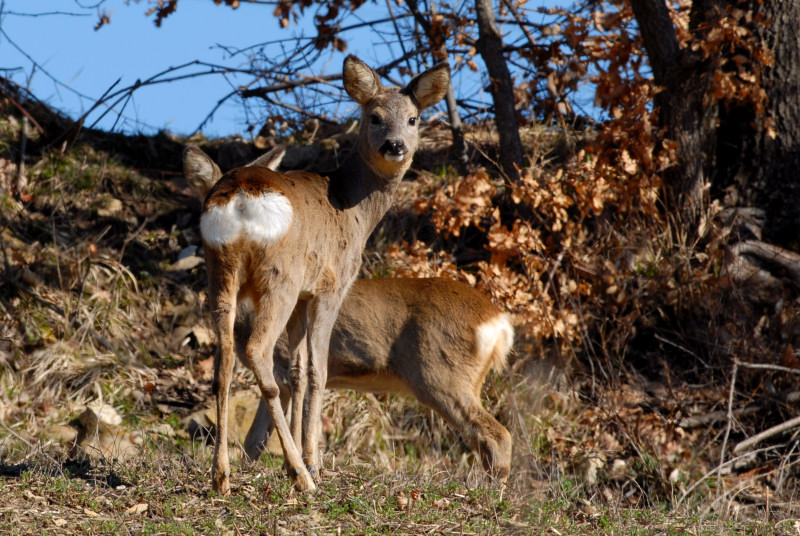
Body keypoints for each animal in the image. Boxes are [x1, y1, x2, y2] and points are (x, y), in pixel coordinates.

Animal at [184, 55, 454, 494]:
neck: (353, 207)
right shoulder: (330, 286)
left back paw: (221, 476)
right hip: (279, 276)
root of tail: (240, 195)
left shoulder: (304, 296)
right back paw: (301, 476)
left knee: (223, 362)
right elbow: (317, 370)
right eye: (374, 116)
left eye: (413, 119)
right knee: (257, 350)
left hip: (220, 273)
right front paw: (313, 459)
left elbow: (296, 370)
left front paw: (290, 456)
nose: (395, 146)